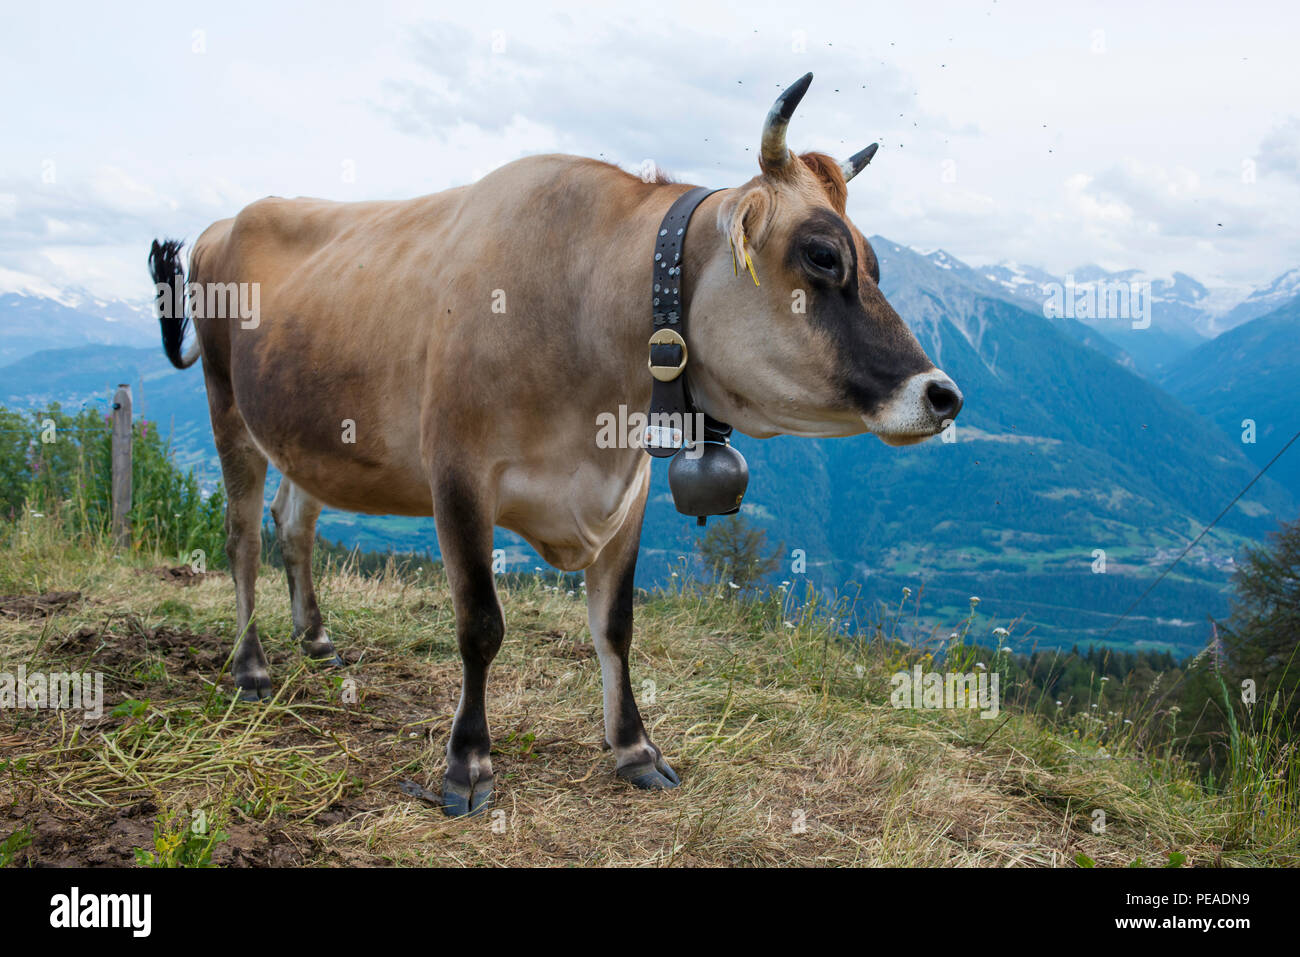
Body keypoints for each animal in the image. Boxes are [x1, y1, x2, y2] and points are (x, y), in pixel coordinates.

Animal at [148, 73, 962, 817]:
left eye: (873, 262)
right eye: (822, 256)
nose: (944, 395)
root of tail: (226, 221)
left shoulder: (629, 489)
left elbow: (616, 626)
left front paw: (634, 748)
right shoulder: (458, 476)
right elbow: (480, 624)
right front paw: (468, 762)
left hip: (306, 435)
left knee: (293, 524)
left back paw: (315, 639)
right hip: (227, 407)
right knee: (241, 535)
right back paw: (251, 666)